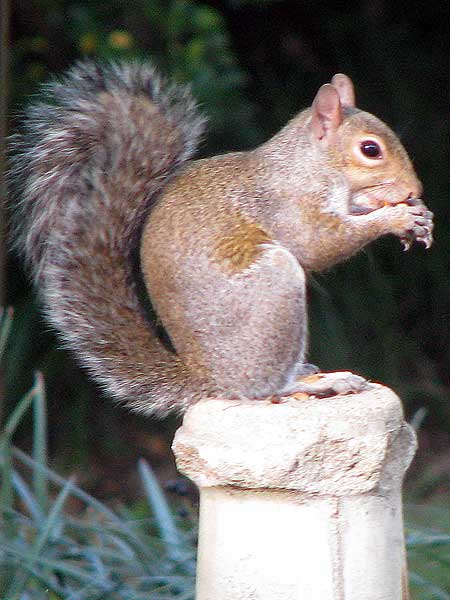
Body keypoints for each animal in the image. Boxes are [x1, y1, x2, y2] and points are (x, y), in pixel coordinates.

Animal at [7, 62, 432, 418]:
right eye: (370, 150)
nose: (415, 189)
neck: (311, 164)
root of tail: (207, 378)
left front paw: (412, 214)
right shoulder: (285, 203)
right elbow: (316, 244)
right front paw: (394, 217)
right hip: (273, 290)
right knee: (261, 388)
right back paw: (317, 383)